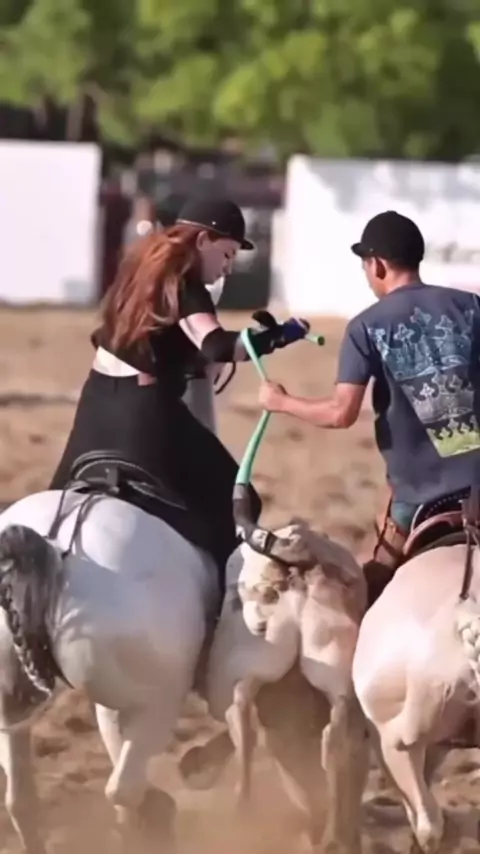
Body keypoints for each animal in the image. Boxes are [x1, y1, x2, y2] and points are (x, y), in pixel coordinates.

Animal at [179, 498, 369, 854]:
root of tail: (300, 552)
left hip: (242, 667)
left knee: (241, 715)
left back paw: (245, 811)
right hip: (336, 671)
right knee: (335, 736)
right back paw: (331, 836)